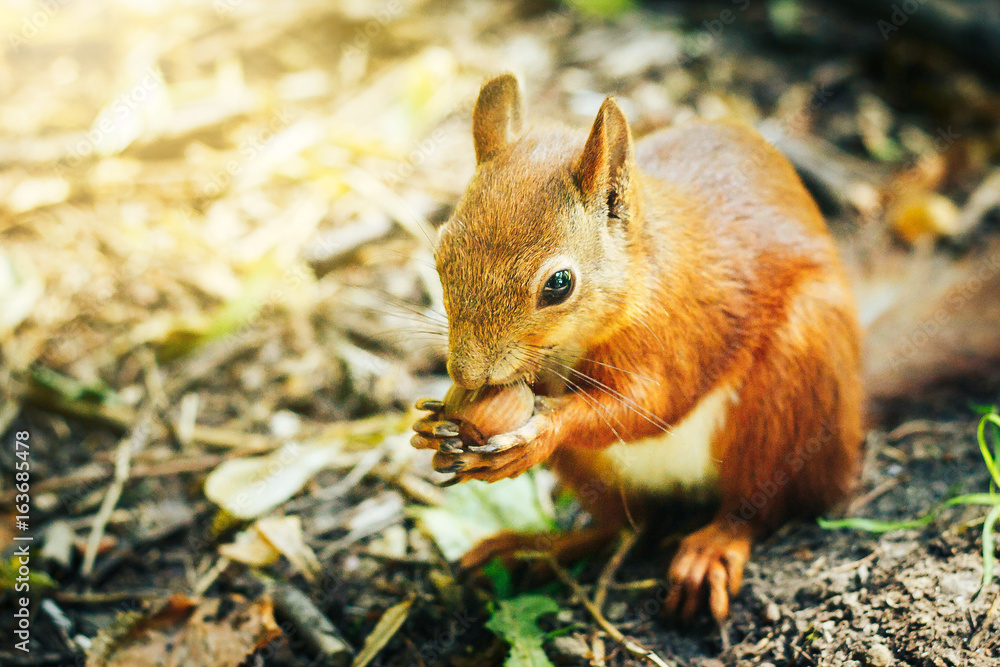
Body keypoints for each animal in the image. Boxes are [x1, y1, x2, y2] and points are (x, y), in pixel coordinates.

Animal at [409, 72, 995, 622]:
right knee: (624, 525)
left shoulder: (679, 332)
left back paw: (713, 547)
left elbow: (647, 406)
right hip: (595, 473)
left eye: (559, 284)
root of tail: (851, 417)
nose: (467, 373)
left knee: (761, 505)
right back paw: (530, 551)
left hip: (792, 387)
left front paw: (540, 430)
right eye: (441, 256)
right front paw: (437, 423)